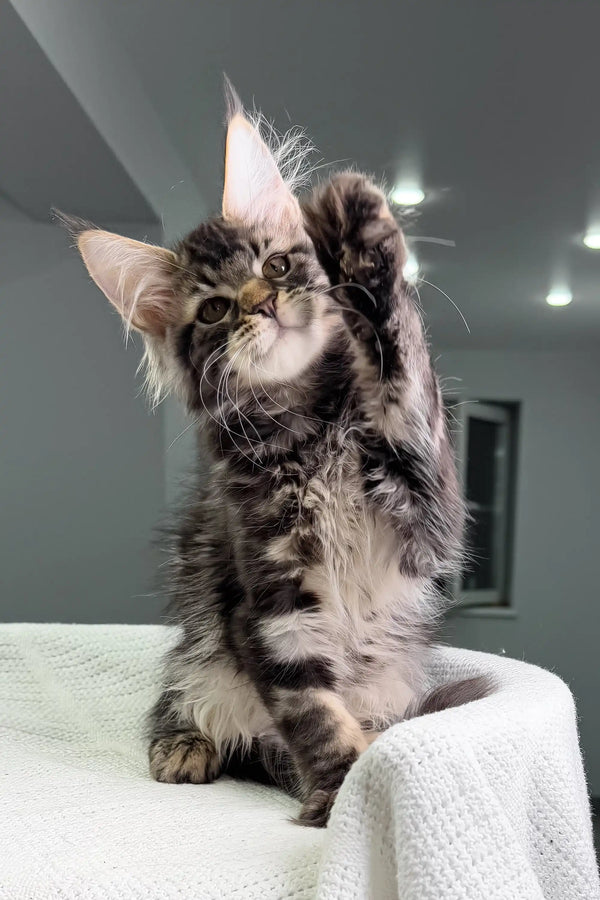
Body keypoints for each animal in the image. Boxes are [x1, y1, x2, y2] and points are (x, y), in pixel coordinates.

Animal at [67, 88, 488, 828]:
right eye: (212, 311)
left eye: (277, 267)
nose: (261, 304)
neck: (309, 430)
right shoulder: (271, 603)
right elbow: (312, 710)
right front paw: (343, 794)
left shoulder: (429, 520)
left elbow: (405, 378)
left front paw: (361, 241)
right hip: (202, 657)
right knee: (184, 704)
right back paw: (184, 747)